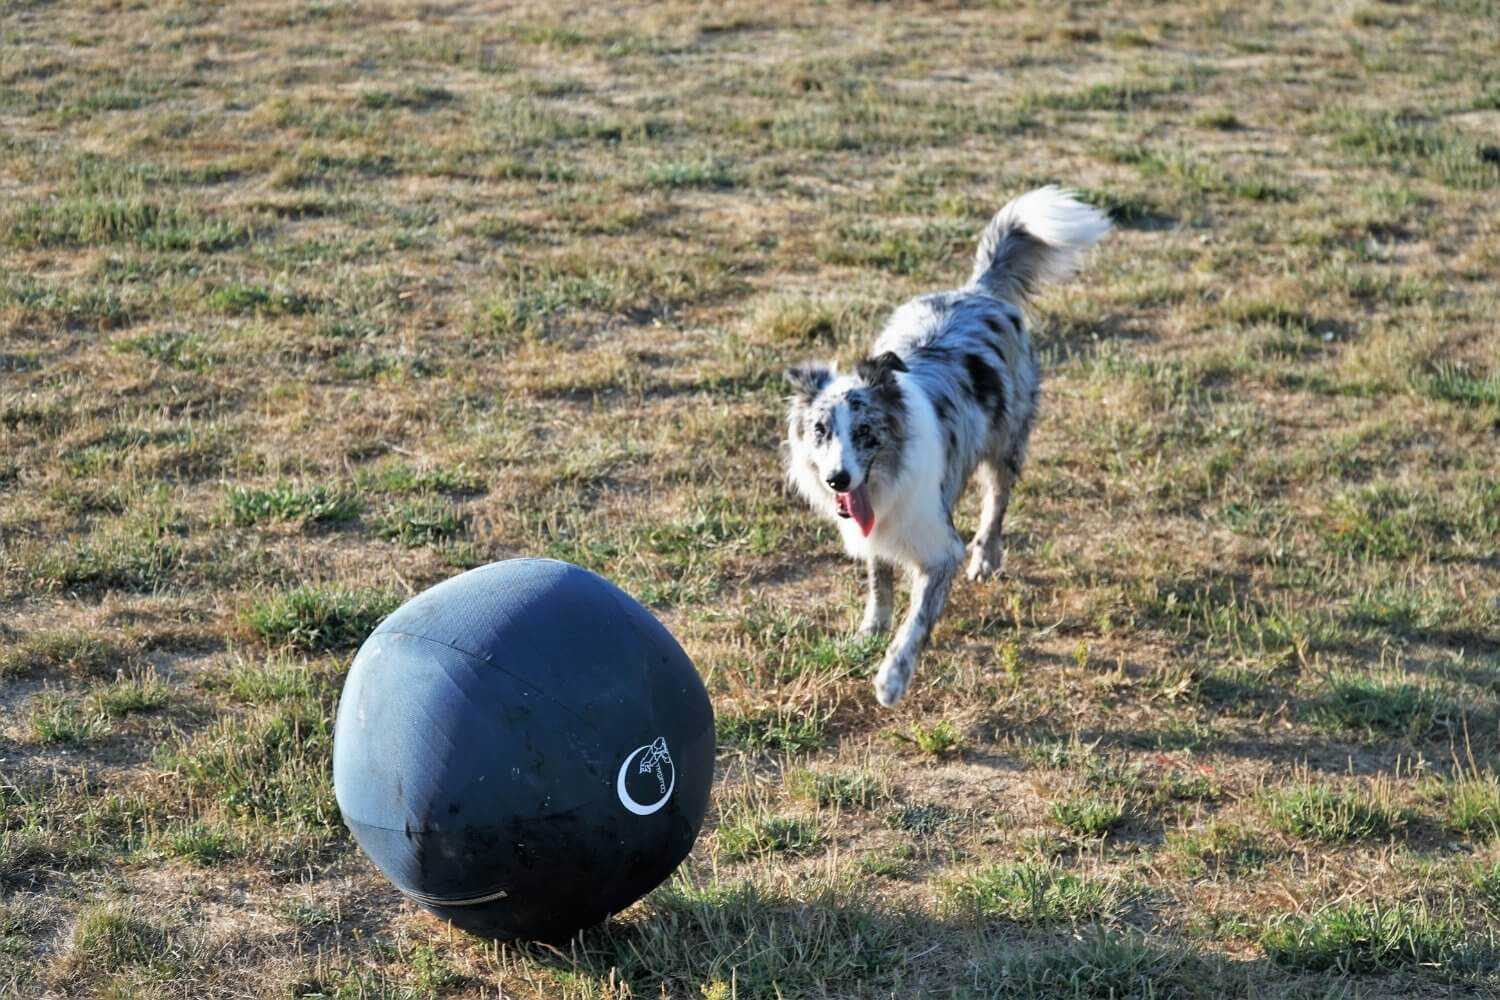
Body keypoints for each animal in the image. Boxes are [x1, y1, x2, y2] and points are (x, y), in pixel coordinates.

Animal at [780, 183, 1110, 707]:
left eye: (866, 432)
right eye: (820, 430)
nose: (838, 479)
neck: (885, 478)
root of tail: (978, 291)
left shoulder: (940, 549)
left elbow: (916, 622)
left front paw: (892, 678)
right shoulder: (875, 529)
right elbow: (879, 580)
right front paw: (869, 632)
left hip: (1006, 445)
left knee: (996, 503)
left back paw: (987, 557)